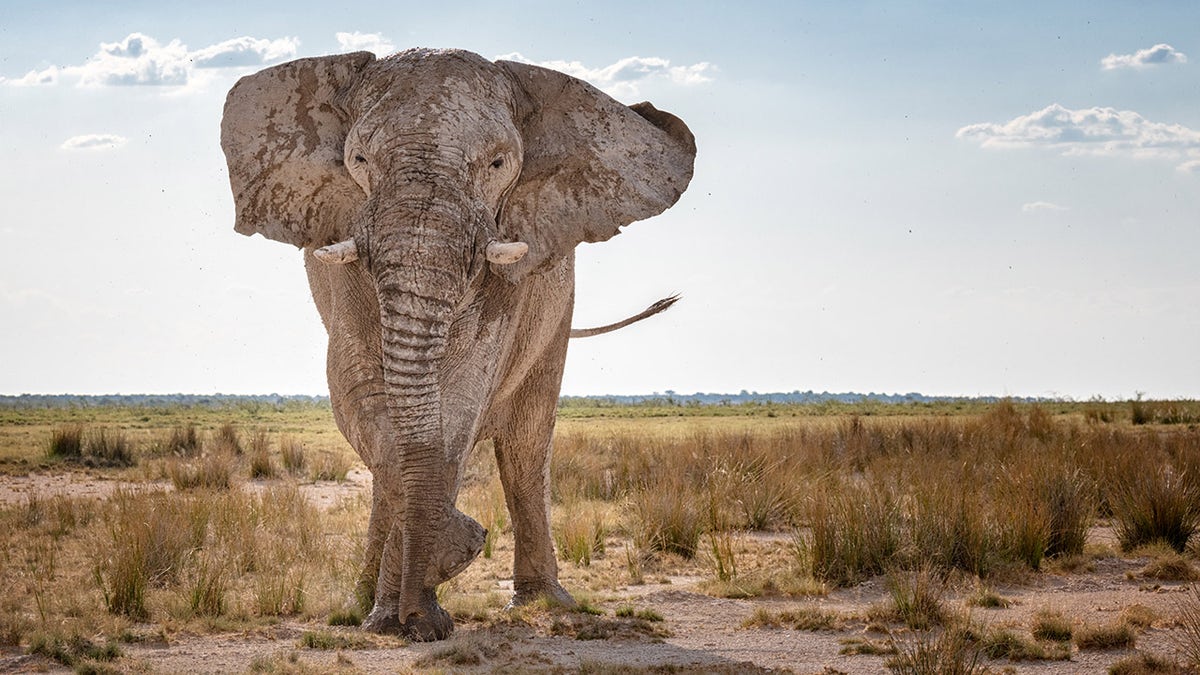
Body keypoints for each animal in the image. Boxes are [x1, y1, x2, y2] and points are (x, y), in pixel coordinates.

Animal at [220, 45, 700, 634]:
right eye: (358, 160)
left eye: (497, 165)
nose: (474, 535)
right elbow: (367, 402)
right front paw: (403, 610)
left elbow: (460, 401)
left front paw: (424, 608)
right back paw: (361, 603)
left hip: (556, 314)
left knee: (525, 448)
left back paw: (545, 602)